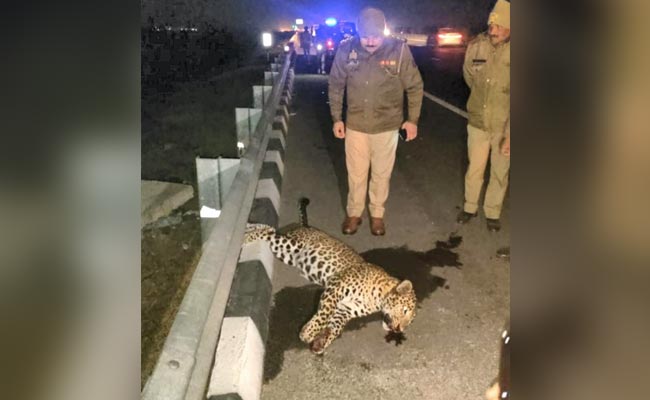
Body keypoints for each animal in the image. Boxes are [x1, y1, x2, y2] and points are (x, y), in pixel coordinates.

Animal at [244, 197, 417, 354]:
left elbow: (336, 326)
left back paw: (249, 226)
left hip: (286, 254)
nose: (399, 329)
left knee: (270, 230)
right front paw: (308, 332)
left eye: (409, 323)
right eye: (405, 311)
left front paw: (321, 341)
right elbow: (324, 314)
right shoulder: (336, 286)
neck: (377, 299)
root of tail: (306, 227)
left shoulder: (345, 309)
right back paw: (245, 236)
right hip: (292, 245)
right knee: (269, 233)